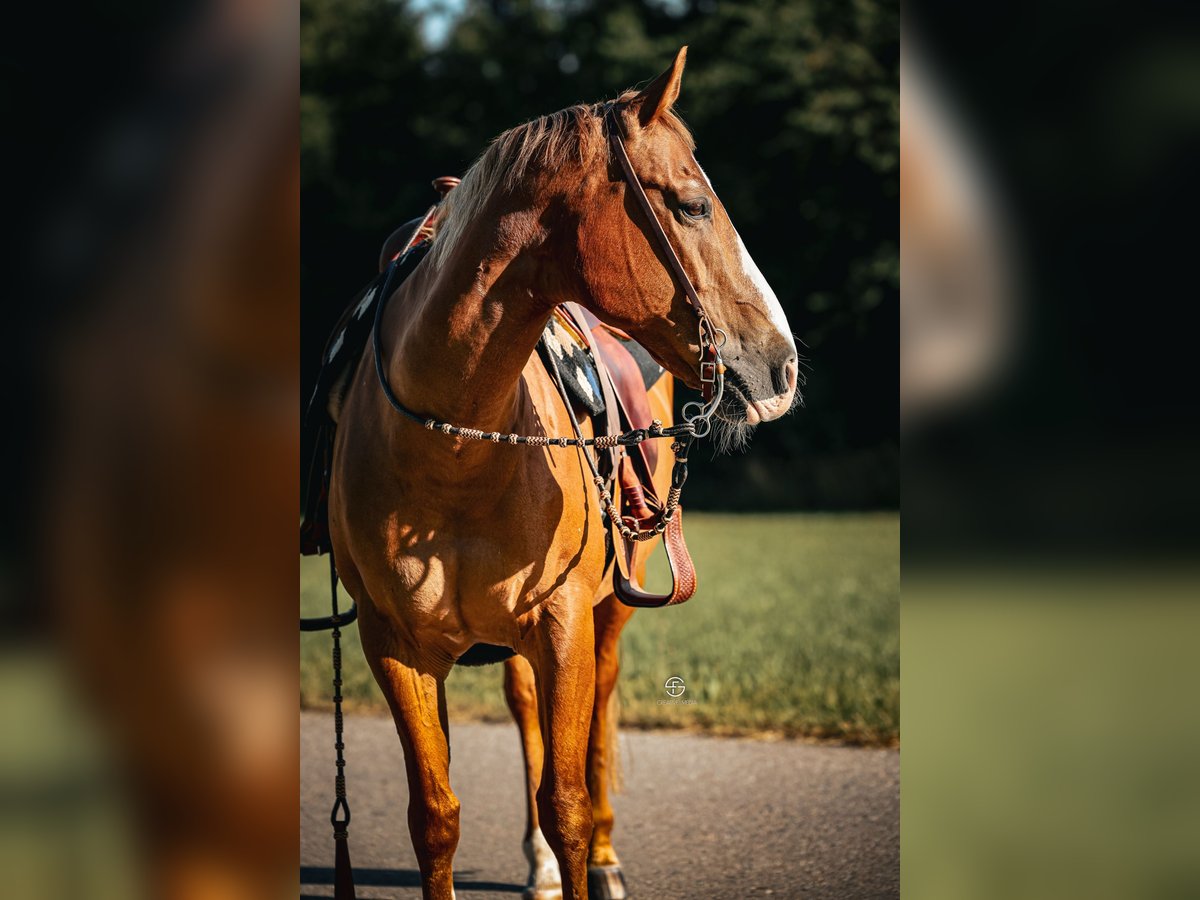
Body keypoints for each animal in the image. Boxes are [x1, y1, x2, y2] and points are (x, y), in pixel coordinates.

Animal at [327, 47, 798, 900]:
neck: (455, 450)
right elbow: (435, 817)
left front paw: (587, 850)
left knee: (602, 703)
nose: (783, 365)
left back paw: (606, 858)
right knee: (525, 710)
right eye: (692, 206)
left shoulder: (566, 621)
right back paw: (538, 865)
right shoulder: (393, 644)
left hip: (612, 604)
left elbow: (569, 803)